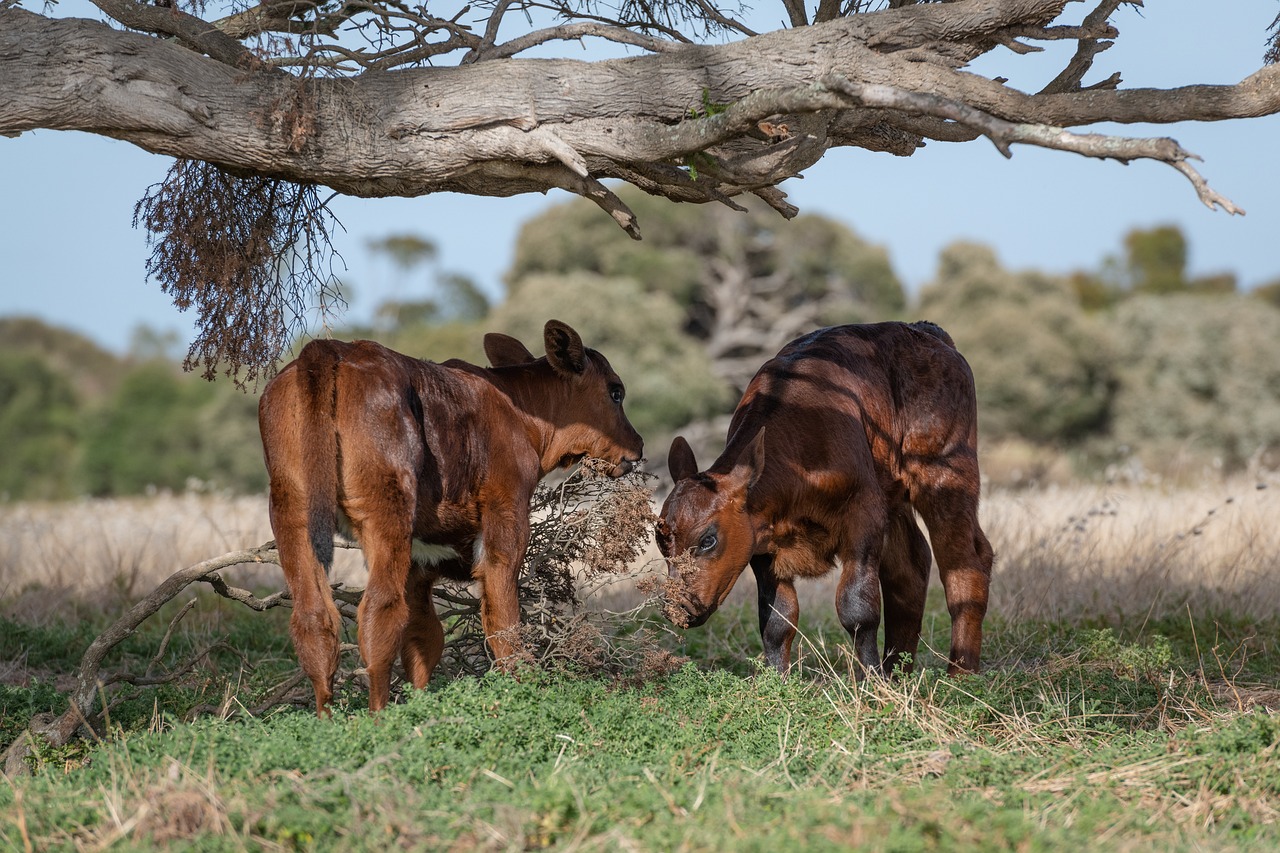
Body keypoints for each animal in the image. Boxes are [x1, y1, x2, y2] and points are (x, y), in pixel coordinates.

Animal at [259, 318, 645, 712]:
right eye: (616, 392)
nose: (639, 445)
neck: (522, 413)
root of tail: (332, 348)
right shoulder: (506, 517)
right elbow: (503, 618)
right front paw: (523, 688)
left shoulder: (420, 564)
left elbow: (425, 638)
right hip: (387, 511)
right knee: (379, 611)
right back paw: (378, 717)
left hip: (291, 514)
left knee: (313, 619)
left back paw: (327, 716)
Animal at [655, 322, 993, 676]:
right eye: (660, 539)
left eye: (708, 540)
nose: (676, 607)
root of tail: (924, 330)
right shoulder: (761, 541)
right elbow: (777, 620)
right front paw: (777, 680)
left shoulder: (864, 511)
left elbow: (857, 607)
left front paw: (871, 681)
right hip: (895, 495)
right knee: (909, 567)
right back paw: (897, 672)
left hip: (946, 474)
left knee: (965, 562)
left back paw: (960, 674)